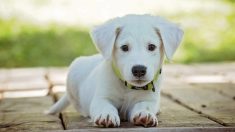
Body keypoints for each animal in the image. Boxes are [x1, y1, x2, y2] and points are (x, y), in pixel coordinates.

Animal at [47, 14, 184, 128]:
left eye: (151, 47)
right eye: (124, 47)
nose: (139, 70)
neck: (128, 87)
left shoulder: (149, 99)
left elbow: (144, 105)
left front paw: (145, 114)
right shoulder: (101, 98)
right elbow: (105, 106)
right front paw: (106, 115)